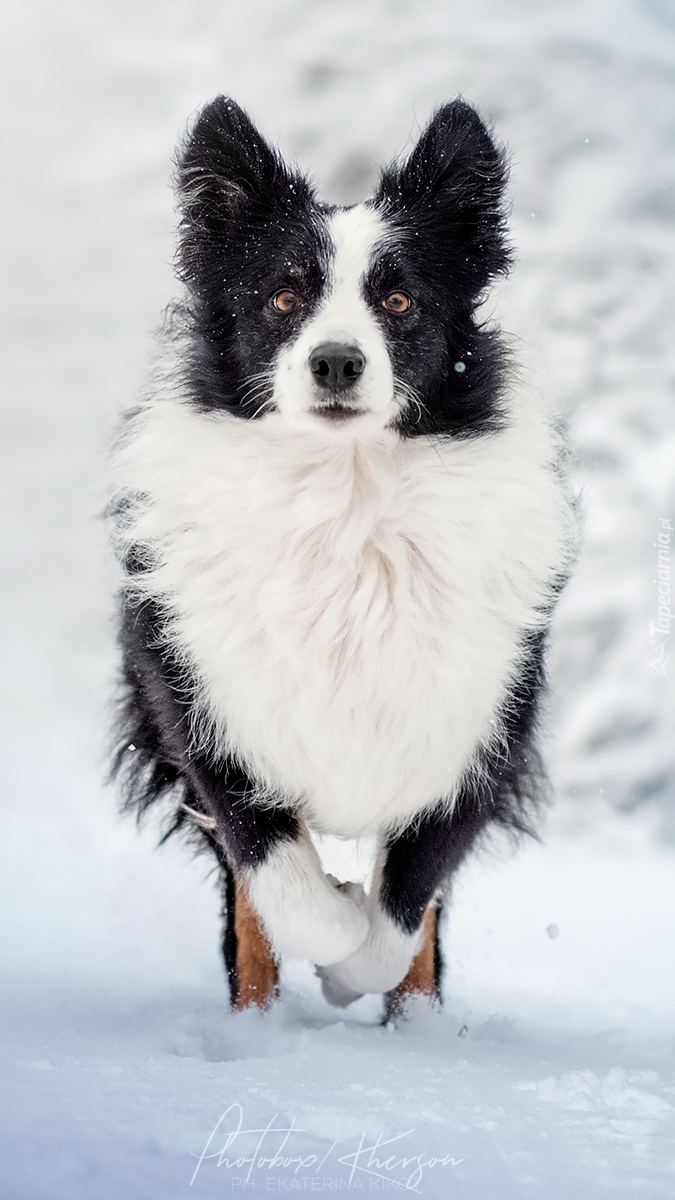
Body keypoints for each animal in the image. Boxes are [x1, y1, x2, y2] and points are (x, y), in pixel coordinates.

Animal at [109, 96, 566, 1012]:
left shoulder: (482, 725)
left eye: (397, 299)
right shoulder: (200, 702)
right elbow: (285, 885)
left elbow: (403, 906)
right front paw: (329, 933)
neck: (343, 495)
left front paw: (360, 969)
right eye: (283, 295)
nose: (335, 361)